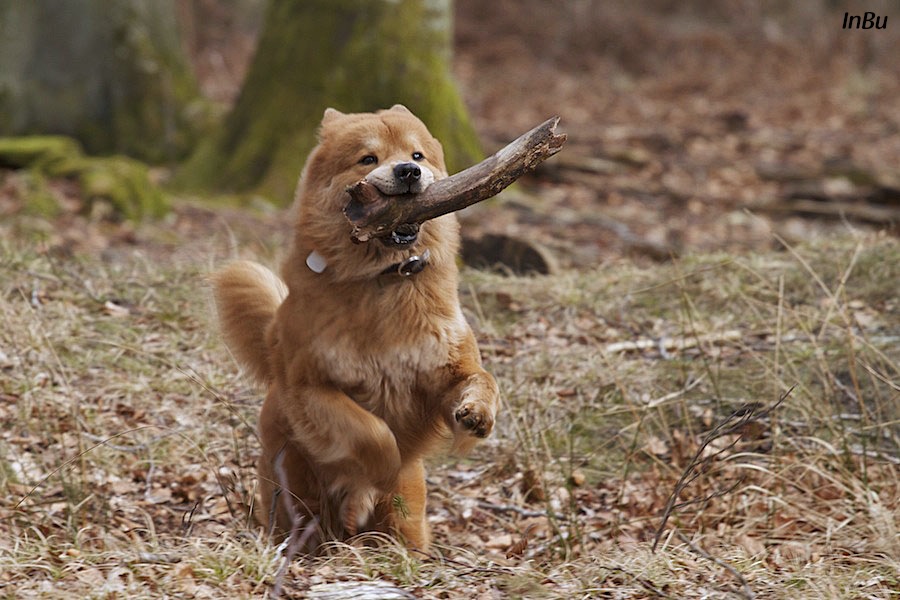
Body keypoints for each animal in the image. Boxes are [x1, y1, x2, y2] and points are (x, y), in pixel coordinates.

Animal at [215, 105, 502, 552]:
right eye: (368, 158)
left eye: (417, 155)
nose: (407, 171)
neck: (384, 279)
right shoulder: (310, 388)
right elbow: (373, 433)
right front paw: (379, 473)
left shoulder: (441, 371)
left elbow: (483, 379)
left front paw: (477, 413)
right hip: (295, 494)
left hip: (406, 522)